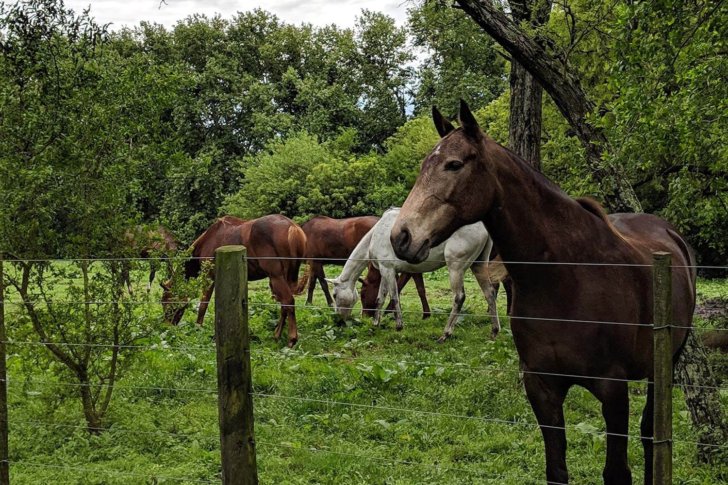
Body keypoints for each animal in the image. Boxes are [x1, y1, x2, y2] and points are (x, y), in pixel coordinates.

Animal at [164, 214, 308, 346]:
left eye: (167, 301)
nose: (167, 327)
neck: (206, 241)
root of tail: (293, 228)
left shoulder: (210, 277)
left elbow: (203, 305)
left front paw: (198, 328)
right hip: (286, 277)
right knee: (284, 304)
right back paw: (277, 335)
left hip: (276, 276)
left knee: (288, 301)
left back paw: (291, 339)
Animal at [300, 216, 430, 318]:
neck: (304, 234)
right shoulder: (314, 263)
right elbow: (312, 283)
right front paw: (309, 303)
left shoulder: (316, 262)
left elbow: (322, 284)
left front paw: (328, 303)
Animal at [328, 208, 504, 340]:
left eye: (335, 295)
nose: (339, 320)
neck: (377, 233)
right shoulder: (386, 271)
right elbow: (380, 299)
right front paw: (376, 324)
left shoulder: (389, 270)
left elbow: (394, 297)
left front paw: (399, 326)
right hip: (479, 265)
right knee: (489, 293)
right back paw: (494, 331)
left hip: (456, 268)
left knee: (459, 297)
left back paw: (445, 334)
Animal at [390, 100, 696, 482]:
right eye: (423, 166)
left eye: (455, 164)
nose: (401, 237)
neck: (565, 279)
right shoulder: (542, 387)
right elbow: (556, 470)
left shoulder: (613, 389)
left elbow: (616, 472)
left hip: (664, 364)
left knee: (650, 434)